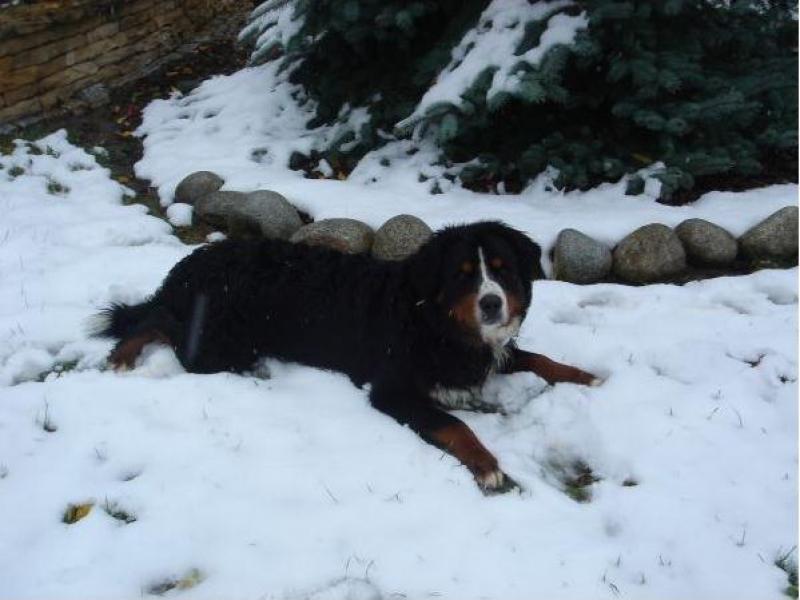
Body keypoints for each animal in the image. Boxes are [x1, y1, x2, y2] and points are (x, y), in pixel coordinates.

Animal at [92, 221, 600, 493]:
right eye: (461, 275)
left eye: (501, 270)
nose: (492, 304)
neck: (434, 321)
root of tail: (192, 263)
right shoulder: (392, 390)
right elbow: (456, 425)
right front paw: (488, 466)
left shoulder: (490, 352)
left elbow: (540, 359)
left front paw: (587, 376)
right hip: (220, 340)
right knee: (156, 322)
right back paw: (123, 354)